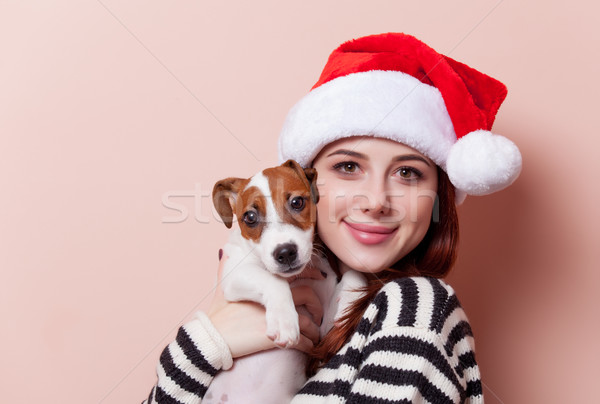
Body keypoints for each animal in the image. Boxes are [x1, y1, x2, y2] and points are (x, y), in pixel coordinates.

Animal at [204, 160, 366, 404]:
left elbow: (352, 275)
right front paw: (284, 321)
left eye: (297, 202)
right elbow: (272, 281)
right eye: (250, 217)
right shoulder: (234, 276)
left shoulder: (321, 329)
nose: (285, 253)